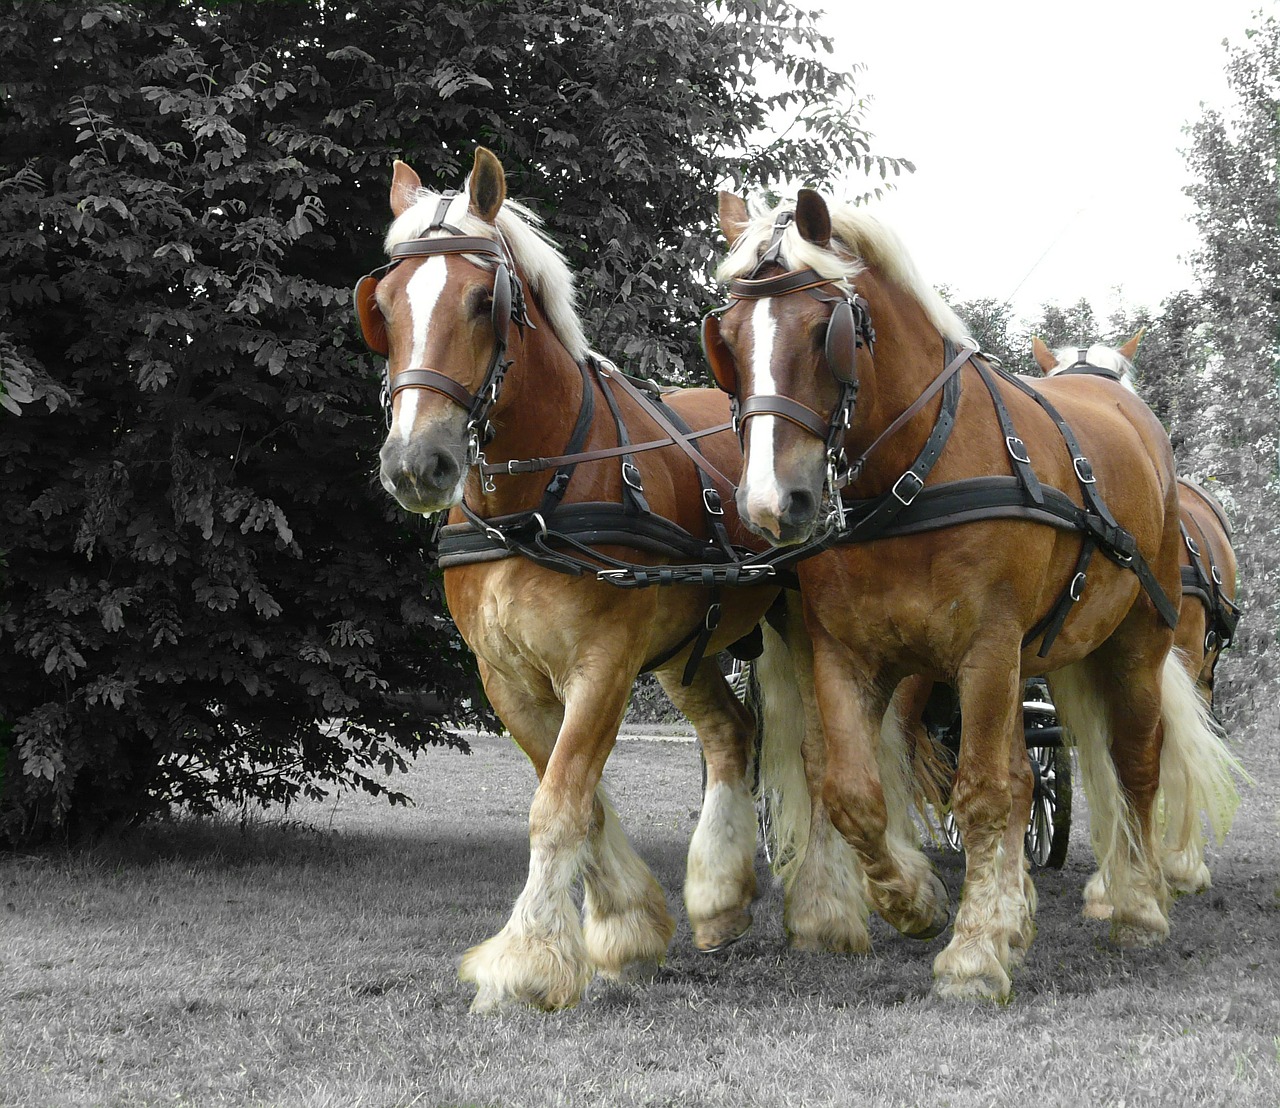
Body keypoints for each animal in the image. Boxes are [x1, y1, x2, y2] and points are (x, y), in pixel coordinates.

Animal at [358, 147, 808, 1008]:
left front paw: (526, 962)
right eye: (385, 307)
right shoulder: (507, 678)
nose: (415, 464)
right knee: (730, 734)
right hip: (686, 652)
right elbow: (581, 799)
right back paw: (721, 900)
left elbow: (560, 802)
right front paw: (626, 929)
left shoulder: (603, 663)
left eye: (483, 302)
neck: (537, 498)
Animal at [701, 191, 1239, 1003]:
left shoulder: (987, 648)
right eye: (727, 339)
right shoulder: (845, 653)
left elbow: (984, 792)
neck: (913, 469)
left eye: (825, 330)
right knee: (1031, 772)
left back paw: (1139, 904)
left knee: (1134, 760)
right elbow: (854, 790)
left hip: (1139, 641)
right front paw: (916, 902)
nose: (771, 503)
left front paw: (975, 952)